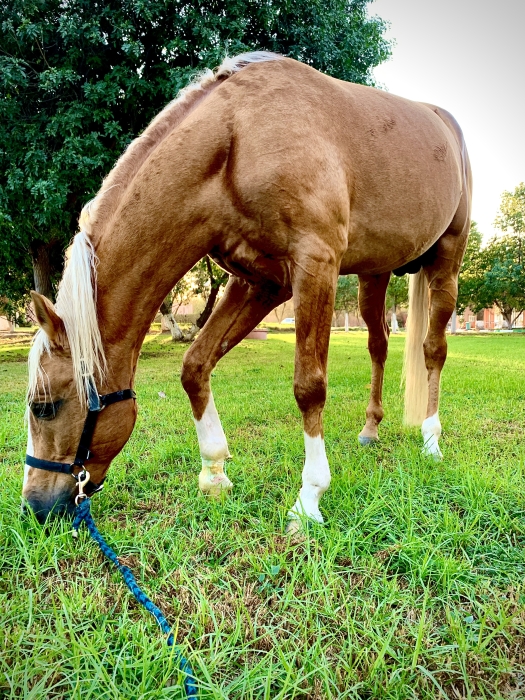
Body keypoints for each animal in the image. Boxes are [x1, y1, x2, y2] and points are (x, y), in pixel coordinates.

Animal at [23, 52, 471, 527]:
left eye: (44, 406)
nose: (33, 505)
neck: (237, 139)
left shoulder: (315, 266)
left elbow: (309, 387)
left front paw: (309, 497)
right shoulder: (261, 282)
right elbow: (195, 366)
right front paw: (214, 473)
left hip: (447, 263)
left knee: (433, 350)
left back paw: (431, 440)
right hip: (375, 275)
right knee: (378, 344)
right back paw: (371, 428)